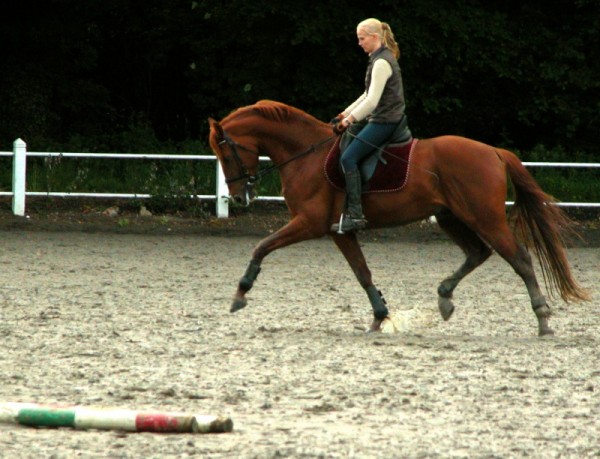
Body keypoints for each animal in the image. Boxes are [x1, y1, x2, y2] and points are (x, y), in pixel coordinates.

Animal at [209, 101, 588, 338]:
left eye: (226, 151)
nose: (240, 196)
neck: (306, 155)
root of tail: (493, 151)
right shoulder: (340, 231)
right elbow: (362, 272)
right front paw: (379, 317)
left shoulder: (310, 223)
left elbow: (262, 246)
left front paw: (240, 293)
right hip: (451, 217)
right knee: (478, 253)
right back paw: (444, 297)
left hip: (485, 218)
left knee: (519, 258)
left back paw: (543, 319)